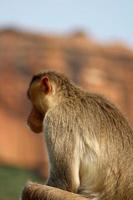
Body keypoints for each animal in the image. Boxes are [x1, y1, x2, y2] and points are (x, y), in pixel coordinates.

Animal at [21, 70, 133, 200]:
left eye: (32, 102)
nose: (28, 119)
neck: (64, 99)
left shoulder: (57, 118)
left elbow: (65, 182)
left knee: (29, 189)